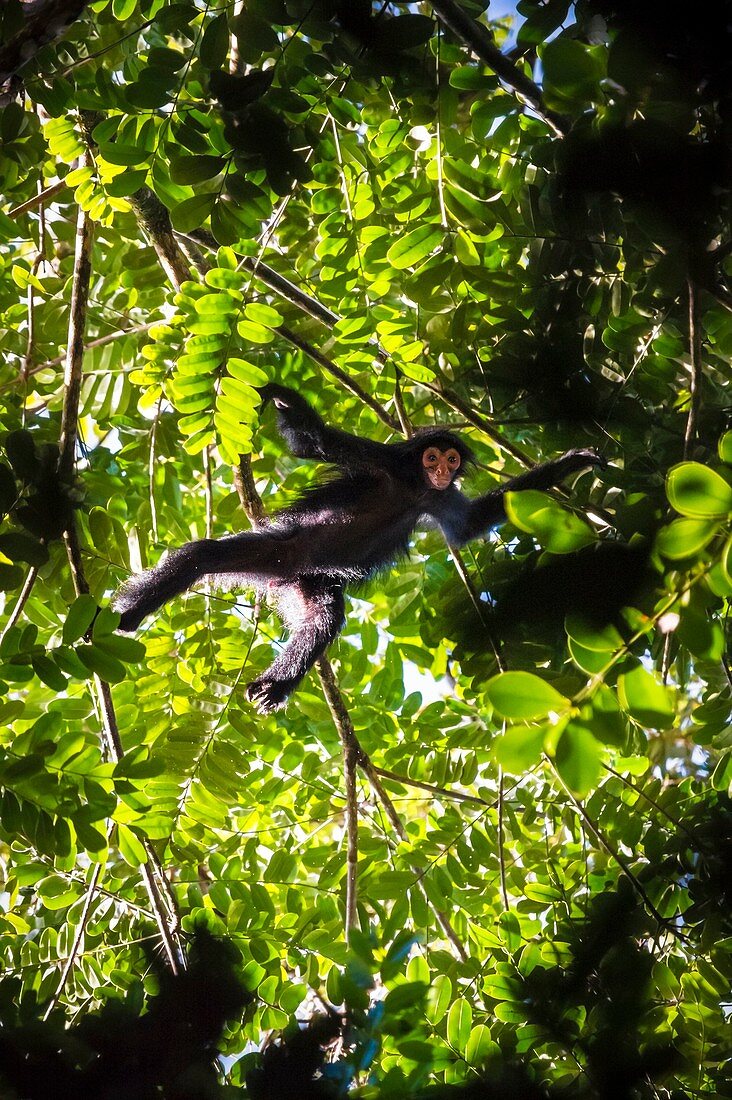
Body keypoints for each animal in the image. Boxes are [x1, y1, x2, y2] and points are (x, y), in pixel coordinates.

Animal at [114, 387, 603, 712]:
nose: (442, 469)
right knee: (203, 556)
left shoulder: (438, 499)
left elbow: (468, 528)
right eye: (431, 457)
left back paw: (273, 686)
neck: (413, 487)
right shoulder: (382, 460)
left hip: (310, 584)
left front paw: (573, 462)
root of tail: (288, 576)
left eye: (450, 460)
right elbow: (313, 441)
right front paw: (280, 395)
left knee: (325, 620)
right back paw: (129, 614)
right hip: (278, 549)